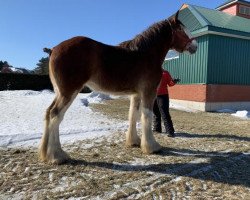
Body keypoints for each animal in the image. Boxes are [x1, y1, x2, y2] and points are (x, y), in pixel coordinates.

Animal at [39, 10, 197, 164]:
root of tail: (53, 49)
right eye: (181, 29)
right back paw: (57, 156)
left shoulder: (136, 94)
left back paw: (47, 153)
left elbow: (133, 114)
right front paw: (152, 147)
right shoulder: (148, 92)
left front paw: (134, 141)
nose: (195, 46)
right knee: (55, 114)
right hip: (69, 91)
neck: (146, 54)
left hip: (60, 92)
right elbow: (147, 115)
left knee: (48, 113)